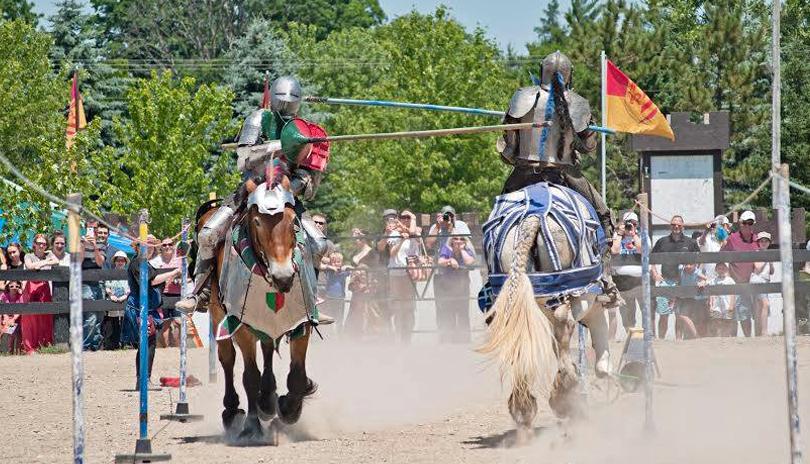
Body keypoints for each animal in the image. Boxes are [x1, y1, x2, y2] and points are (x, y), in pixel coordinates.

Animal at [197, 173, 318, 442]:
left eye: (293, 221)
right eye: (257, 222)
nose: (283, 276)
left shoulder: (302, 320)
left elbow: (297, 374)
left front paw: (288, 408)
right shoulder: (241, 323)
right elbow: (249, 376)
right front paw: (252, 425)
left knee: (267, 348)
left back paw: (269, 396)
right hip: (218, 314)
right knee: (228, 359)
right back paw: (233, 411)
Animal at [480, 184, 608, 438]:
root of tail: (532, 216)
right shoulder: (595, 300)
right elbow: (601, 346)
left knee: (520, 340)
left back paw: (523, 408)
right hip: (575, 297)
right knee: (564, 326)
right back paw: (566, 396)